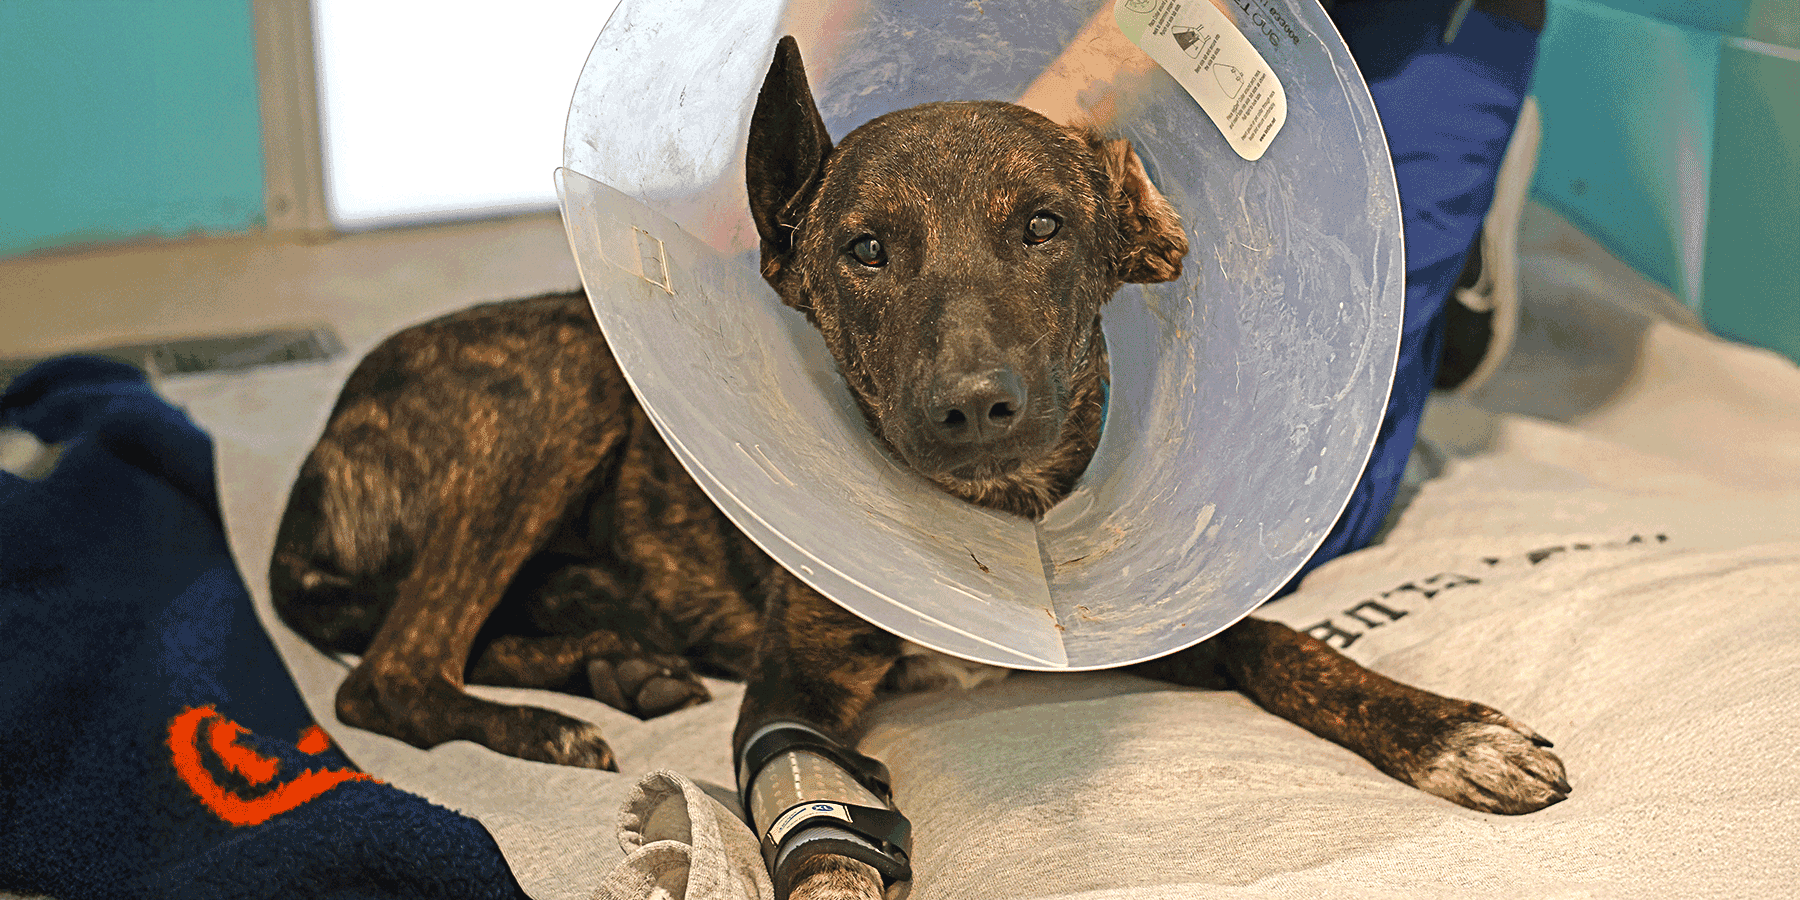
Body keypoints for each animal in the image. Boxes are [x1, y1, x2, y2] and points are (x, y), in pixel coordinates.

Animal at [273, 38, 1569, 900]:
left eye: (1045, 225)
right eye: (865, 249)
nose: (973, 405)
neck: (997, 518)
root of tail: (319, 456)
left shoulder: (1151, 615)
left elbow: (1290, 646)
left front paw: (1449, 730)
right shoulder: (789, 693)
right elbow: (824, 839)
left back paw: (615, 663)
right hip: (562, 383)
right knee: (388, 671)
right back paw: (550, 721)